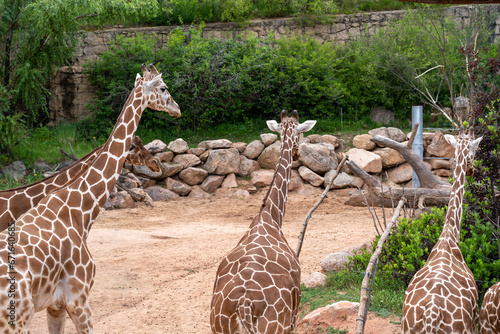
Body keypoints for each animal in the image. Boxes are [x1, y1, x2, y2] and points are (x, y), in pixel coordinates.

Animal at [209, 110, 314, 334]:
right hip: (277, 327)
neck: (270, 216)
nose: (297, 154)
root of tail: (244, 306)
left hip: (217, 326)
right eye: (301, 133)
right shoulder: (293, 317)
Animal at [400, 129, 482, 334]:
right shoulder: (475, 322)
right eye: (474, 151)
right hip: (462, 329)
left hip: (406, 327)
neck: (449, 237)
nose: (472, 169)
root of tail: (432, 313)